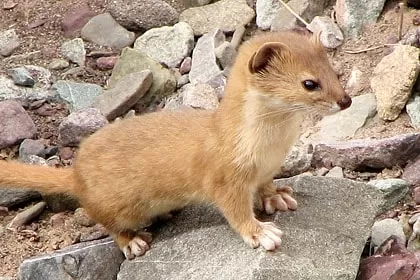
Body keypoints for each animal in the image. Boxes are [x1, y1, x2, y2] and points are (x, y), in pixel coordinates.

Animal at [0, 30, 352, 258]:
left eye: (334, 72)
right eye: (309, 83)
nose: (346, 101)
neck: (270, 146)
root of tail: (75, 174)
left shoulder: (267, 169)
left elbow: (266, 186)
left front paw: (278, 197)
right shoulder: (224, 178)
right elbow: (234, 210)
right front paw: (261, 232)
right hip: (114, 207)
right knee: (111, 225)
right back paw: (133, 242)